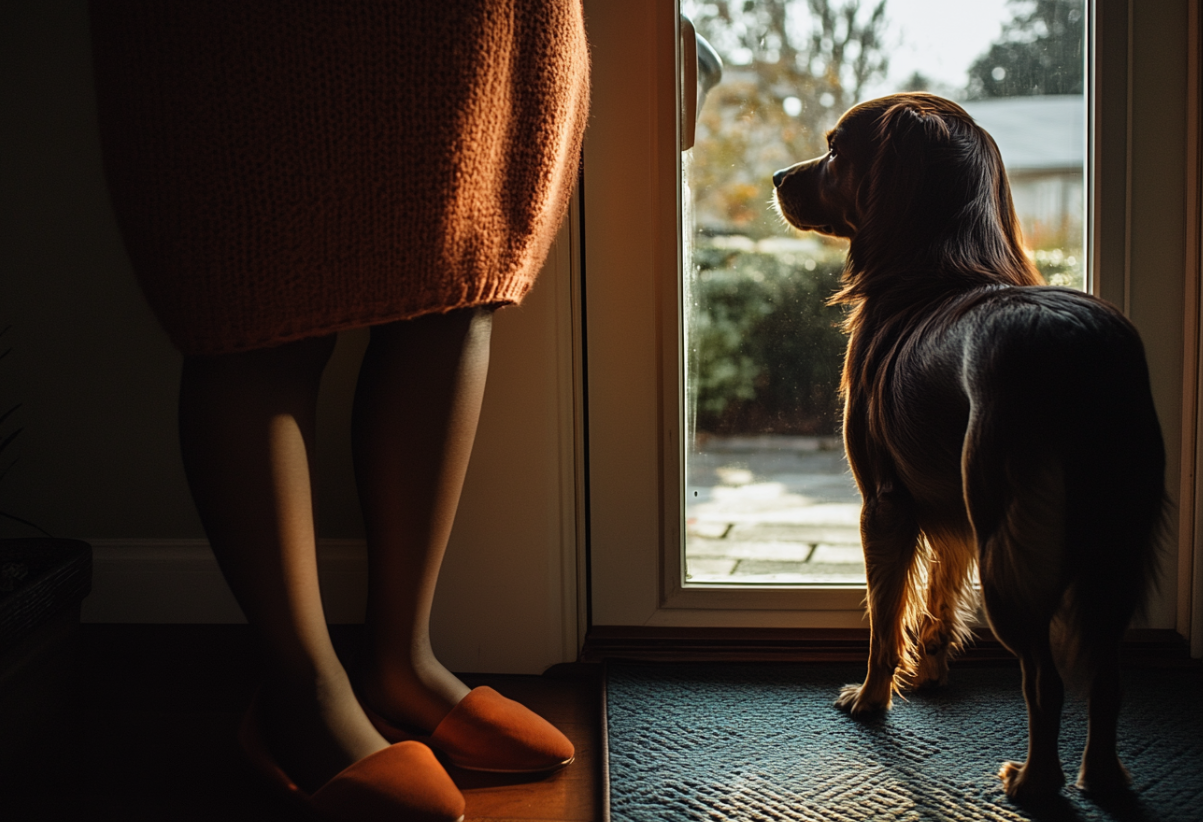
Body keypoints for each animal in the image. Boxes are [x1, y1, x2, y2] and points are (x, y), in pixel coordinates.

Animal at [769, 93, 1164, 799]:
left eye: (836, 148)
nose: (779, 178)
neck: (938, 269)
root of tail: (1083, 353)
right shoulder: (952, 510)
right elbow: (939, 595)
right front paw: (929, 674)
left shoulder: (884, 503)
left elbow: (884, 616)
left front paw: (871, 699)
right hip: (1109, 553)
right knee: (1106, 676)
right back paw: (1100, 777)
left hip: (1013, 549)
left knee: (1045, 680)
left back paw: (1034, 781)